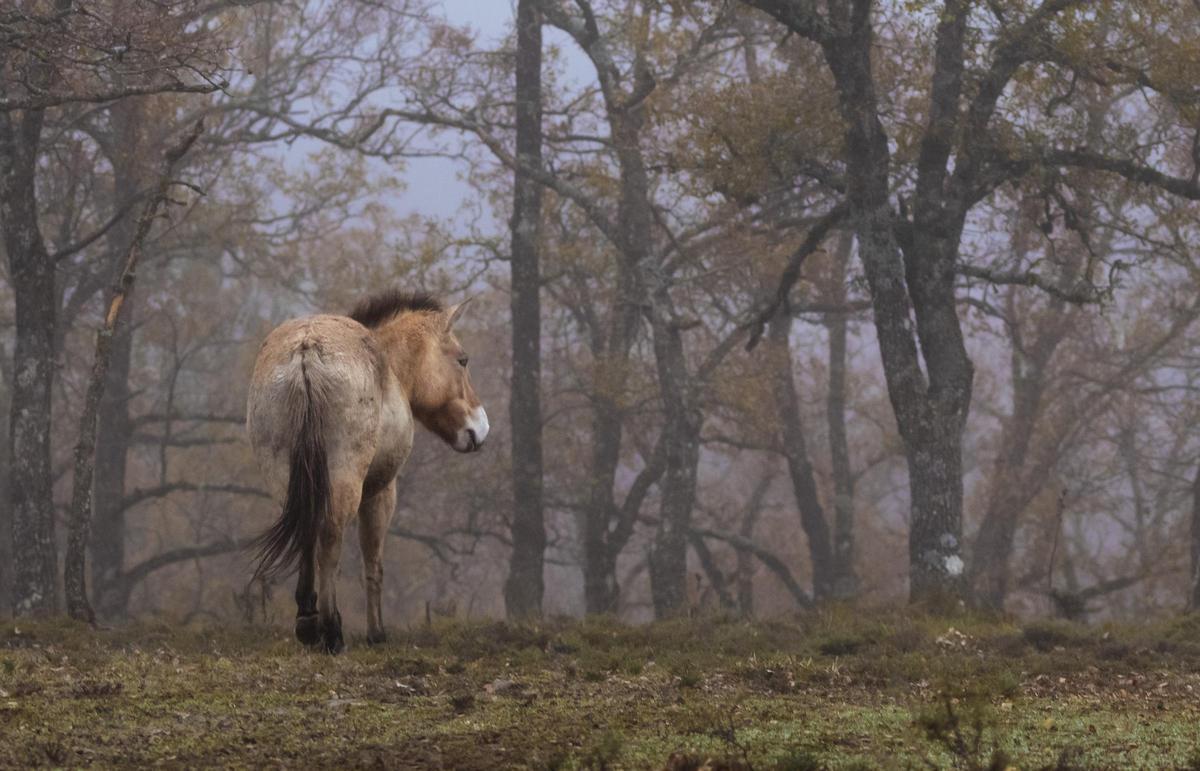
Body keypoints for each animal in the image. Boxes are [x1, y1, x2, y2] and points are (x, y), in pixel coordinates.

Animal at [243, 288, 487, 648]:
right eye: (463, 360)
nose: (480, 428)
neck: (390, 367)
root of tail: (305, 353)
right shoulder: (381, 491)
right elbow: (373, 562)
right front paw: (377, 633)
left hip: (286, 478)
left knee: (307, 533)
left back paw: (308, 623)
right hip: (345, 481)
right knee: (330, 537)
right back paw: (331, 631)